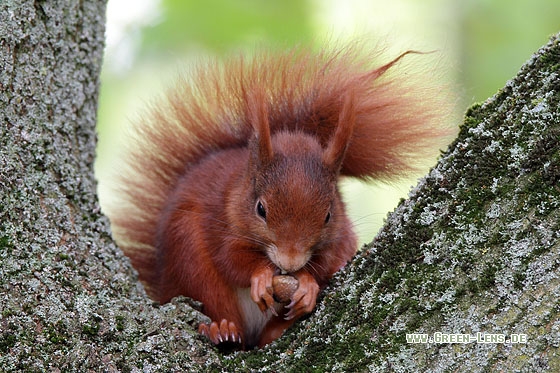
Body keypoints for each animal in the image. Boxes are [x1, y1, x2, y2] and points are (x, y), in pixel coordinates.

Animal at [106, 43, 450, 348]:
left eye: (328, 215)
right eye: (260, 209)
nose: (290, 262)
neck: (239, 186)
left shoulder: (341, 237)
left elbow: (327, 264)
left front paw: (308, 285)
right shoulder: (221, 218)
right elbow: (231, 259)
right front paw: (260, 276)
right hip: (188, 256)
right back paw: (222, 329)